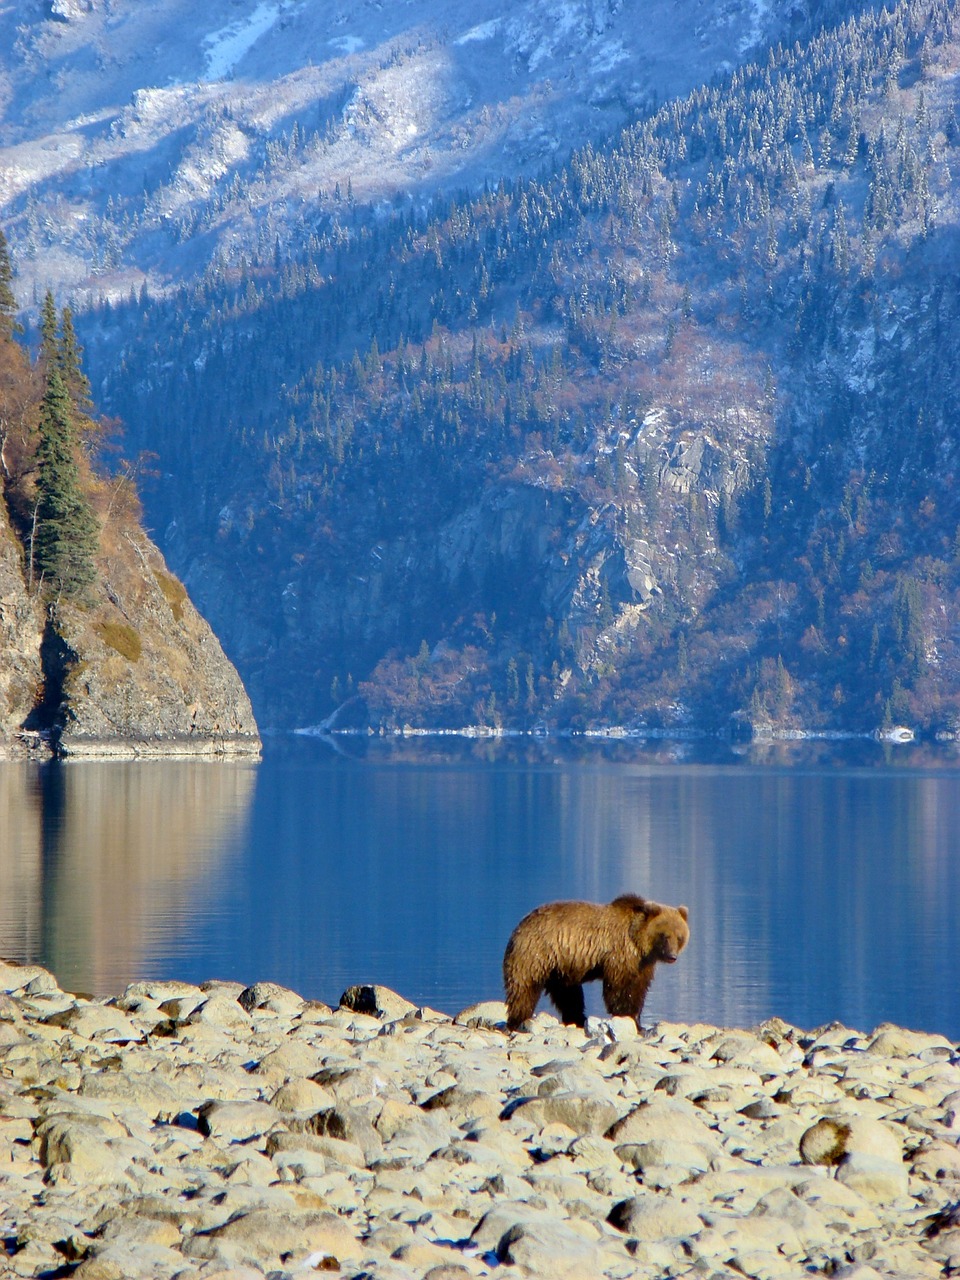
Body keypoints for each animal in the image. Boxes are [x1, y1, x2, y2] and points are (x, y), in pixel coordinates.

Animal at [504, 896, 691, 1034]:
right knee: (525, 988)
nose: (672, 956)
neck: (639, 943)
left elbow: (638, 989)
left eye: (679, 937)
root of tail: (520, 924)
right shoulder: (620, 953)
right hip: (537, 953)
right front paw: (627, 1016)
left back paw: (578, 1019)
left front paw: (638, 1021)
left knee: (568, 995)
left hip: (560, 967)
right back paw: (517, 1022)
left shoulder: (643, 964)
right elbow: (619, 988)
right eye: (665, 936)